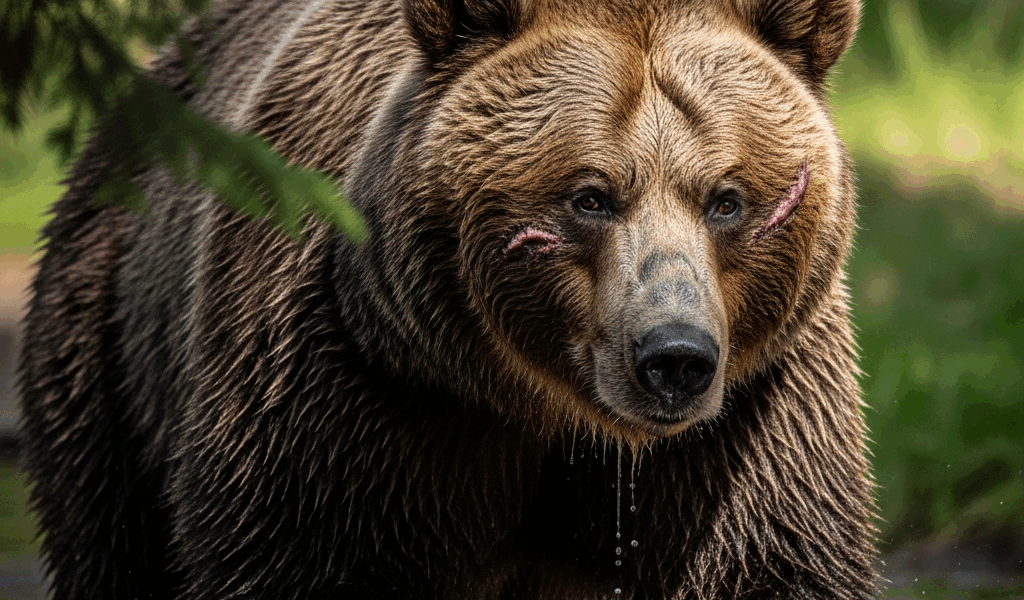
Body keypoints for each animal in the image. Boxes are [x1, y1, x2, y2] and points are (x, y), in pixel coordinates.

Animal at [18, 0, 877, 598]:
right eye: (590, 196)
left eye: (727, 199)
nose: (673, 358)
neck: (546, 411)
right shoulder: (355, 397)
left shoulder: (749, 424)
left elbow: (768, 558)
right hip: (105, 345)